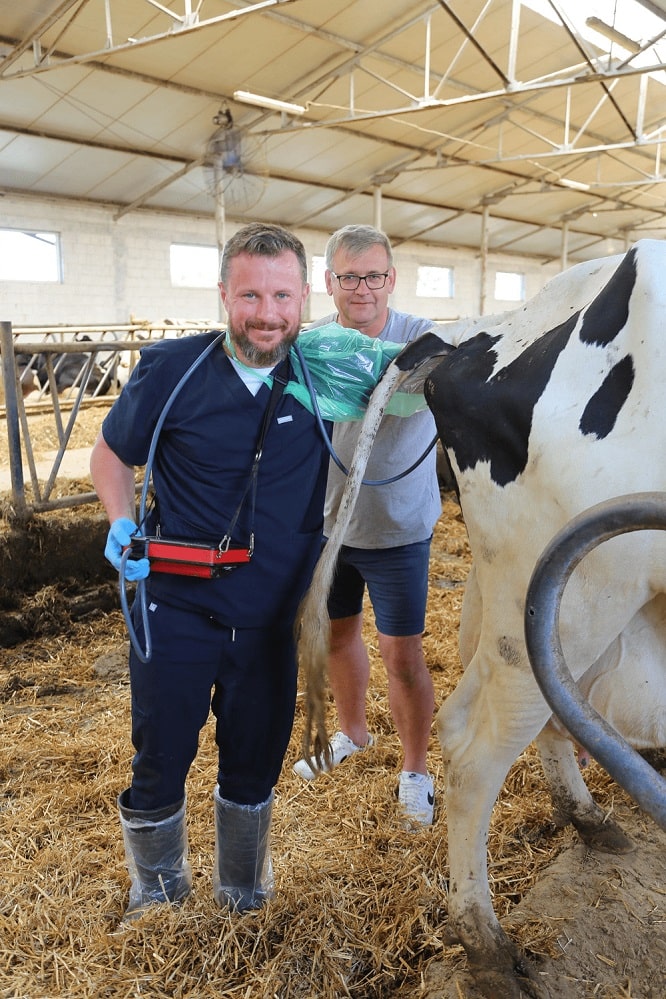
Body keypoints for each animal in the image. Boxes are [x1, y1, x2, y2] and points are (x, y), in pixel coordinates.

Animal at [298, 240, 664, 999]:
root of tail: (481, 333)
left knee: (550, 707)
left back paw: (587, 819)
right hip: (578, 583)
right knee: (474, 744)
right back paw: (488, 946)